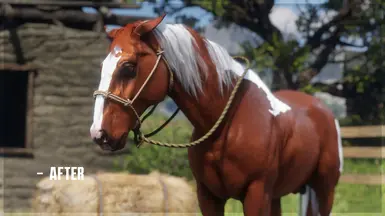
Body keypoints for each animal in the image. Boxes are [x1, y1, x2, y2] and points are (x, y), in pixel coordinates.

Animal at [89, 14, 342, 215]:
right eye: (102, 66)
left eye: (129, 67)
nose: (99, 133)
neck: (227, 125)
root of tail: (323, 111)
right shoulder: (209, 196)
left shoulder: (257, 193)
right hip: (279, 196)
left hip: (324, 190)